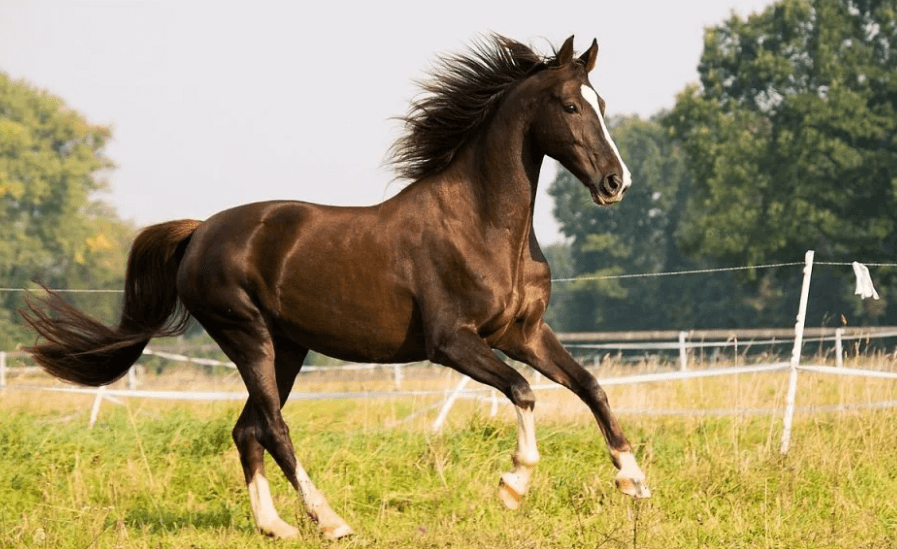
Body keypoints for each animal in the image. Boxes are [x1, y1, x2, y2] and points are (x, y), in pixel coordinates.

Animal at [22, 34, 650, 540]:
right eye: (570, 105)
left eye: (601, 104)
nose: (615, 183)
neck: (482, 226)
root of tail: (199, 232)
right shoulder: (453, 342)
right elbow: (523, 391)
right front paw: (514, 484)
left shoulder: (523, 333)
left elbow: (590, 386)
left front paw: (634, 480)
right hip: (247, 337)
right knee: (273, 427)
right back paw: (330, 520)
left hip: (287, 348)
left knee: (247, 429)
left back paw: (275, 526)